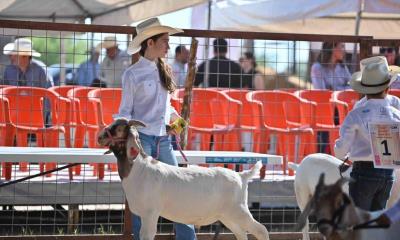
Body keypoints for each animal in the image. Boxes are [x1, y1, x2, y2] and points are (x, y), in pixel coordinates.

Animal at [98, 119, 270, 240]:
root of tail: (241, 176)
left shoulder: (150, 213)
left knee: (261, 230)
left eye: (119, 129)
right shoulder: (143, 214)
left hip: (238, 210)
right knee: (241, 234)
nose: (99, 137)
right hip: (227, 215)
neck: (139, 168)